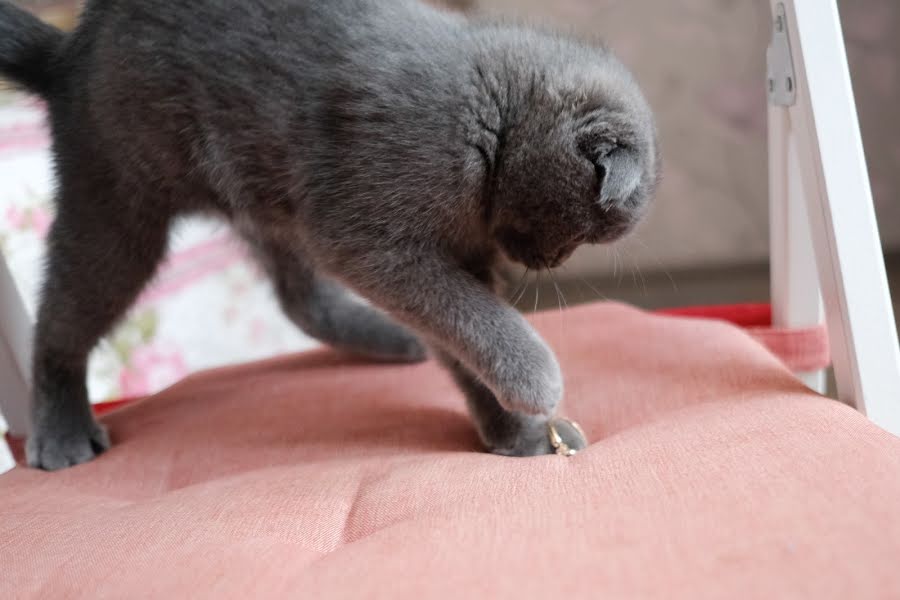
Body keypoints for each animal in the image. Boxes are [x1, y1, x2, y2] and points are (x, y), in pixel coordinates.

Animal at [0, 0, 660, 468]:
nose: (550, 262)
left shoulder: (455, 254)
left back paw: (390, 338)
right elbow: (472, 313)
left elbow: (459, 334)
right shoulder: (366, 238)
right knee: (63, 318)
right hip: (120, 197)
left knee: (300, 300)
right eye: (580, 234)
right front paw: (534, 382)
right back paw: (61, 430)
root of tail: (67, 50)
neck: (488, 123)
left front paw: (516, 432)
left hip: (266, 201)